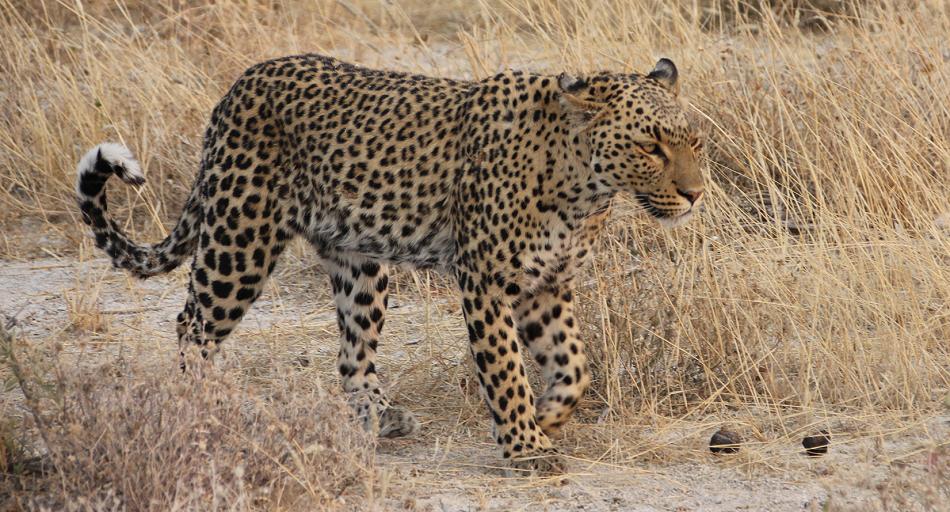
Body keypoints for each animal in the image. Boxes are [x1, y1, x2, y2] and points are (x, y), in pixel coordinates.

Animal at [76, 53, 708, 476]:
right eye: (650, 147)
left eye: (694, 142)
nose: (696, 195)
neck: (583, 188)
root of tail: (238, 86)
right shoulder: (485, 280)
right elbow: (505, 367)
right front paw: (526, 446)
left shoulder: (546, 284)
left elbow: (575, 365)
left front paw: (549, 417)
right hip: (241, 240)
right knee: (193, 324)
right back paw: (202, 406)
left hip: (360, 265)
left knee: (352, 353)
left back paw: (382, 417)